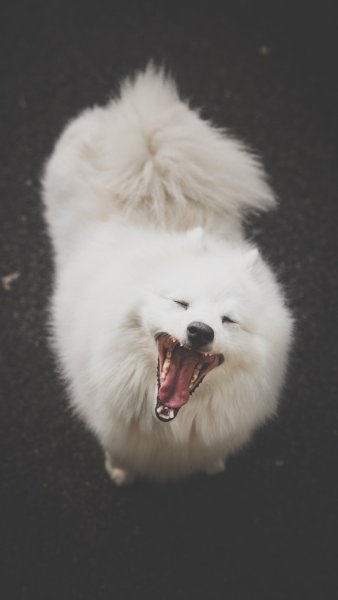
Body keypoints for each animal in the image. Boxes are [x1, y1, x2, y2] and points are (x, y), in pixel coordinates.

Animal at [43, 68, 294, 486]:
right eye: (181, 303)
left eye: (228, 320)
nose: (200, 331)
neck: (170, 424)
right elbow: (118, 451)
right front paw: (119, 472)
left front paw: (212, 465)